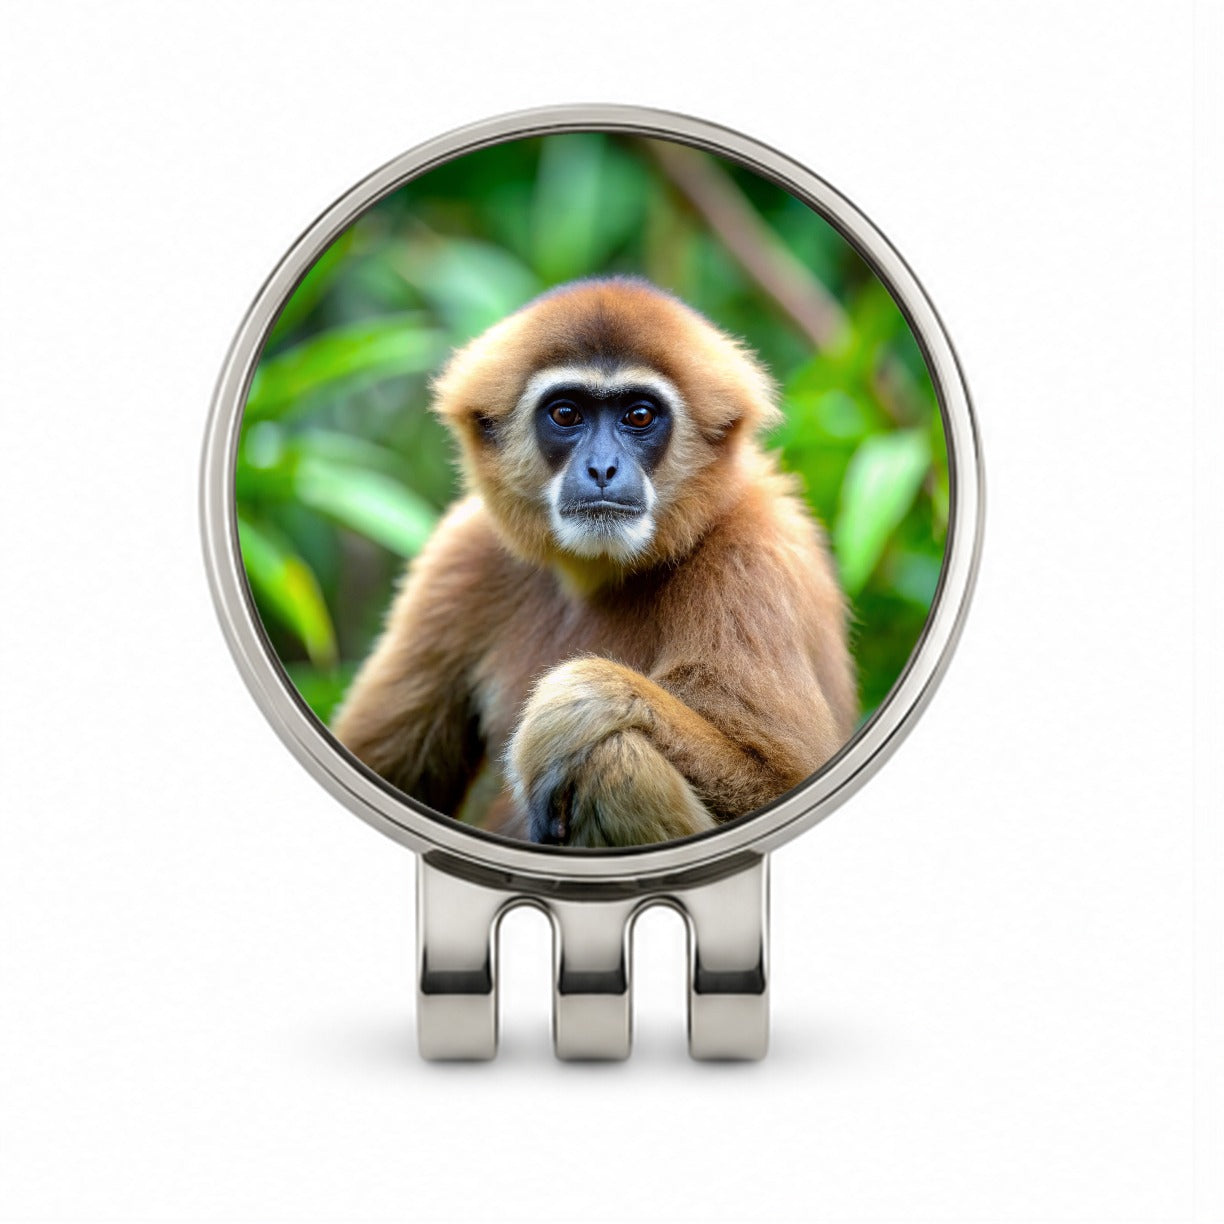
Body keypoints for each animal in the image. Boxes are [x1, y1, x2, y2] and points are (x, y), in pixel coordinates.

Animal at [330, 277, 857, 847]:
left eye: (639, 416)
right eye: (566, 414)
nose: (602, 467)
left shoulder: (750, 558)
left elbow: (780, 778)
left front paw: (576, 705)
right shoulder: (461, 554)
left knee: (613, 760)